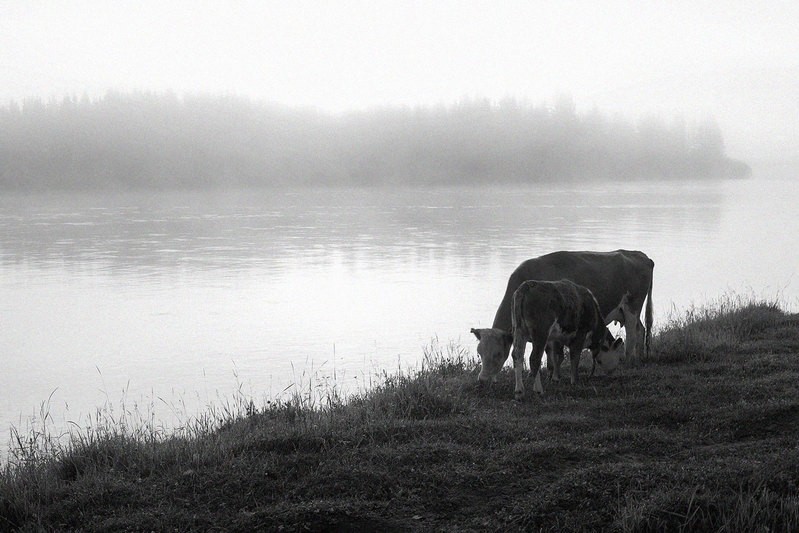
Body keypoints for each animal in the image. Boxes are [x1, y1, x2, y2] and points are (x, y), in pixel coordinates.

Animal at [472, 247, 652, 384]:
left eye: (498, 353)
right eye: (479, 352)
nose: (482, 380)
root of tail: (639, 255)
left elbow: (556, 354)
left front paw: (554, 376)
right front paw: (549, 374)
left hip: (631, 307)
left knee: (631, 334)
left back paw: (629, 361)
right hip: (626, 311)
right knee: (641, 329)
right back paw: (640, 358)